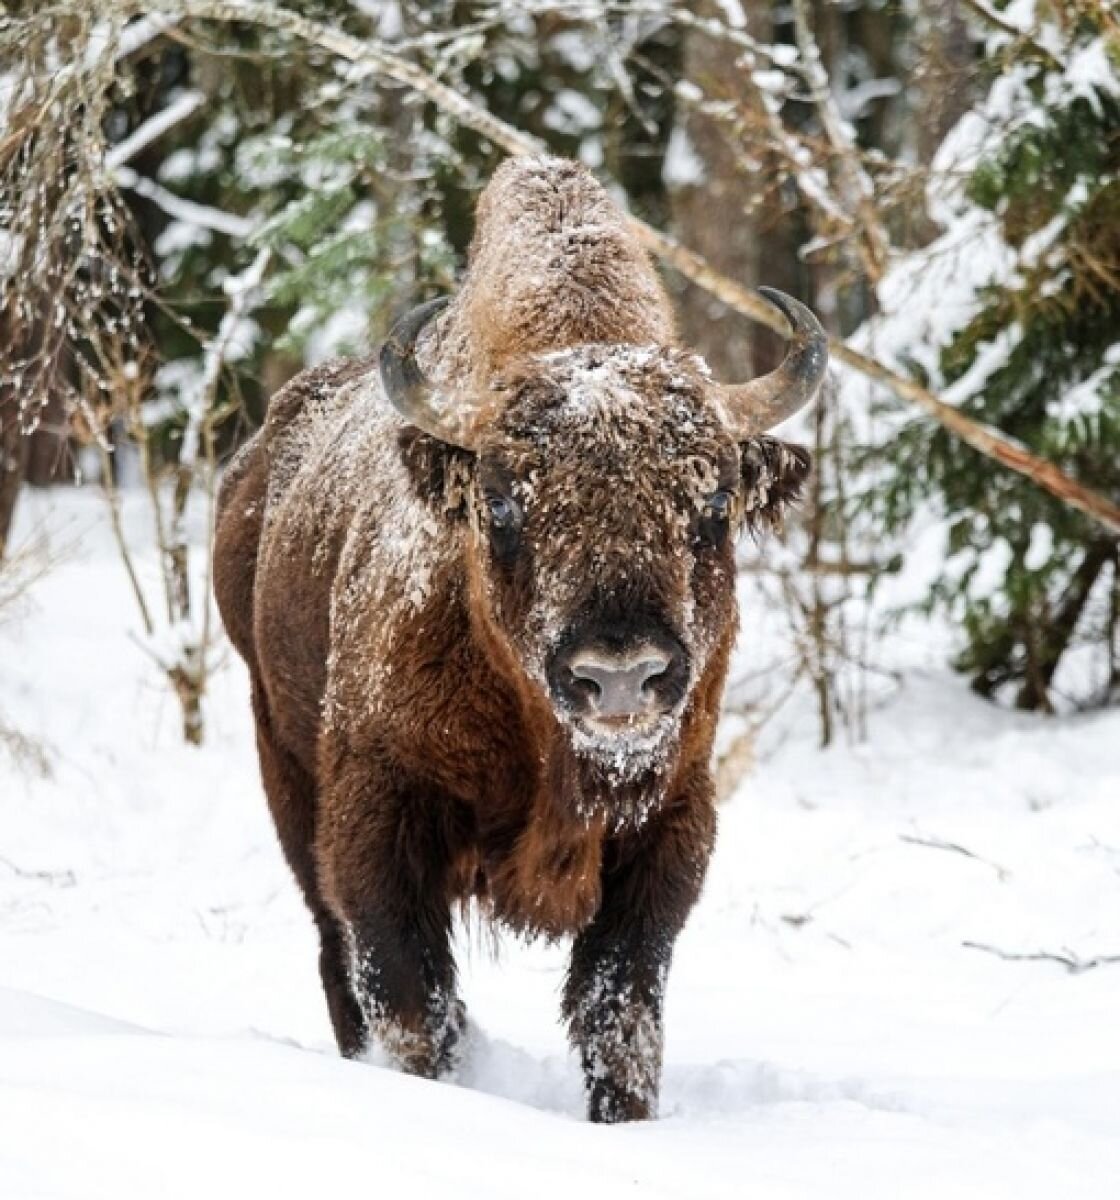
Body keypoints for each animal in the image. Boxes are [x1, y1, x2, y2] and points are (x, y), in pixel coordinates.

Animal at [213, 154, 825, 1118]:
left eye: (713, 503)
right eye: (502, 503)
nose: (620, 675)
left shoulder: (669, 827)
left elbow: (619, 1011)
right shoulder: (377, 821)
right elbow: (412, 1001)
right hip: (284, 763)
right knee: (332, 952)